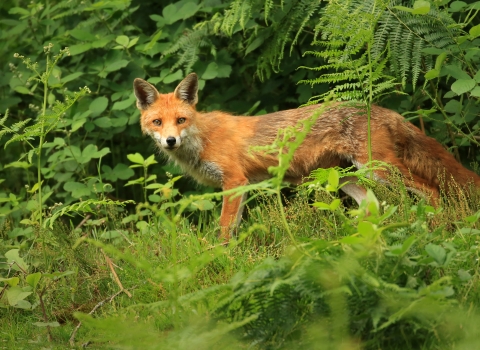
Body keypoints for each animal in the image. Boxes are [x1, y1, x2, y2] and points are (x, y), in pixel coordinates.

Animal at [133, 72, 480, 239]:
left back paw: (434, 226)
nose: (170, 140)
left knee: (431, 190)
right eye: (157, 122)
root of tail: (380, 109)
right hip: (347, 177)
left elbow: (224, 228)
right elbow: (233, 227)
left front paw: (221, 257)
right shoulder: (241, 185)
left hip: (378, 168)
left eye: (181, 119)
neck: (202, 138)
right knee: (372, 206)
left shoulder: (234, 181)